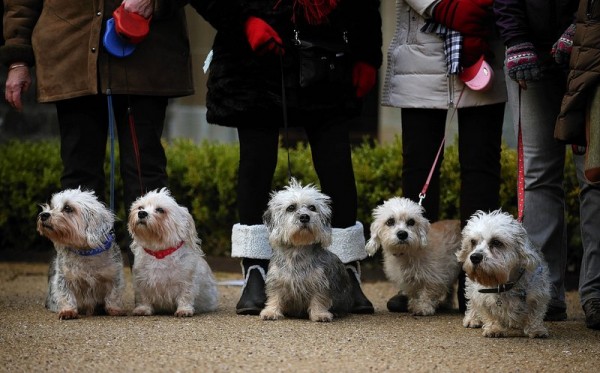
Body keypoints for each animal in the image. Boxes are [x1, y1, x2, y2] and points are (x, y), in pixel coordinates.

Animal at [37, 187, 126, 318]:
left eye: (68, 208)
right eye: (52, 206)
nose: (43, 215)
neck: (85, 253)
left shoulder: (114, 275)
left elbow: (113, 295)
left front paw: (114, 309)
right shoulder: (64, 278)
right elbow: (66, 295)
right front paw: (68, 311)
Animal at [127, 187, 219, 316]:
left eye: (160, 210)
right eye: (140, 207)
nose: (141, 213)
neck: (160, 253)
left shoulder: (187, 281)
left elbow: (185, 296)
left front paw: (184, 310)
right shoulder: (141, 281)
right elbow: (144, 297)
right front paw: (143, 309)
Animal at [260, 179, 354, 322]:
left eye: (312, 208)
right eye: (291, 208)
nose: (305, 217)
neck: (297, 250)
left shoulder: (320, 282)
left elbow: (319, 299)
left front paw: (320, 314)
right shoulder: (276, 280)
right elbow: (274, 296)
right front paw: (271, 311)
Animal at [458, 209, 552, 338]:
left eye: (496, 242)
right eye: (473, 241)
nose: (474, 257)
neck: (504, 283)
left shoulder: (538, 295)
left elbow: (535, 314)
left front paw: (536, 330)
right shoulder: (483, 296)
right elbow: (489, 313)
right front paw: (494, 328)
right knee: (472, 301)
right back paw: (472, 318)